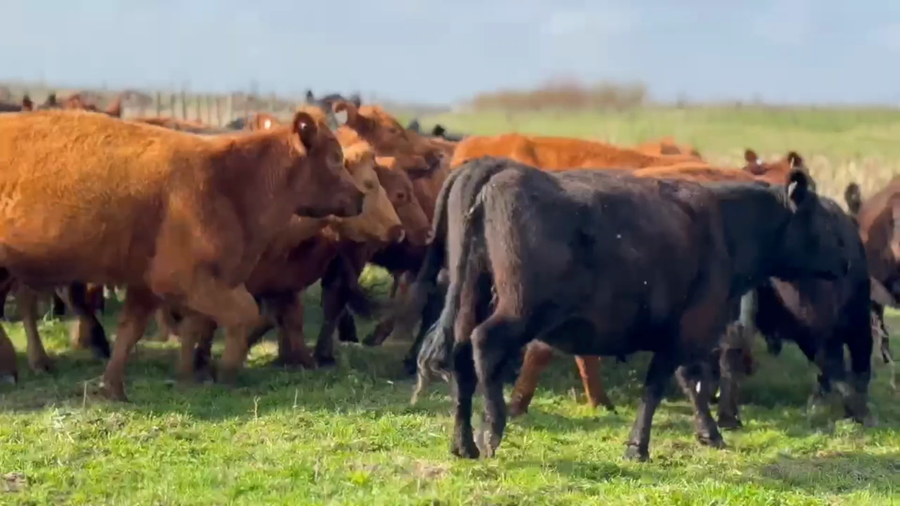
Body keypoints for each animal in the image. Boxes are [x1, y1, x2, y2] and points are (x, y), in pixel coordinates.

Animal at [0, 108, 363, 400]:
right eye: (334, 156)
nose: (360, 197)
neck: (228, 183)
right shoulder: (184, 280)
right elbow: (244, 313)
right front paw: (224, 373)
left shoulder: (148, 285)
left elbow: (134, 331)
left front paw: (114, 387)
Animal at [405, 155, 851, 461]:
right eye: (825, 222)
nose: (848, 262)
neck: (726, 227)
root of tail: (497, 167)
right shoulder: (688, 327)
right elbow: (666, 384)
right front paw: (642, 445)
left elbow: (688, 381)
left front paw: (705, 434)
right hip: (519, 308)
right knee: (485, 344)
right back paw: (491, 428)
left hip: (470, 297)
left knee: (460, 356)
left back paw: (463, 443)